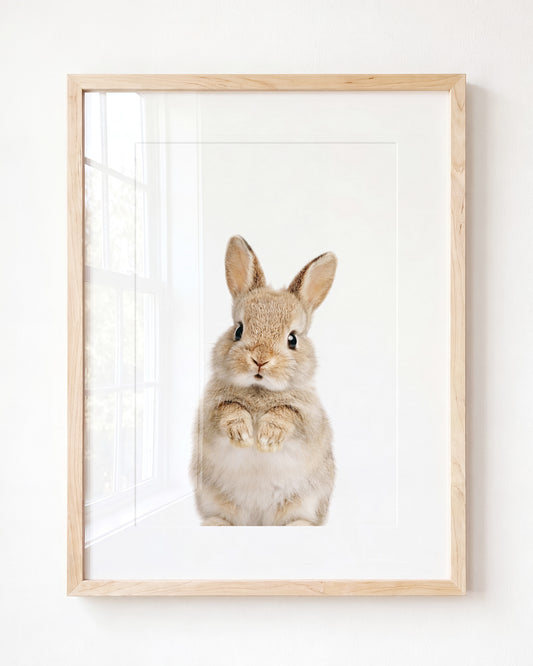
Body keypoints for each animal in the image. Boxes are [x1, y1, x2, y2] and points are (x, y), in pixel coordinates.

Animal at [190, 235, 337, 526]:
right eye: (238, 330)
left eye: (292, 339)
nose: (260, 359)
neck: (259, 390)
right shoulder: (210, 413)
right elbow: (230, 409)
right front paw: (243, 434)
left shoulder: (308, 420)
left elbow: (286, 413)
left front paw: (267, 438)